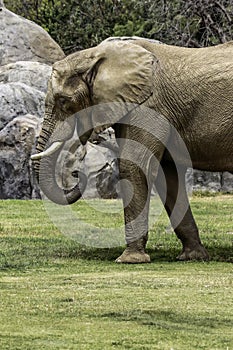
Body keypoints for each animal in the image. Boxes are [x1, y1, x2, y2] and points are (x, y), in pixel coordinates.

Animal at [31, 37, 233, 264]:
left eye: (63, 101)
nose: (77, 174)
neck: (94, 56)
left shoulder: (150, 108)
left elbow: (133, 165)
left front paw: (129, 260)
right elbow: (168, 176)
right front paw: (192, 256)